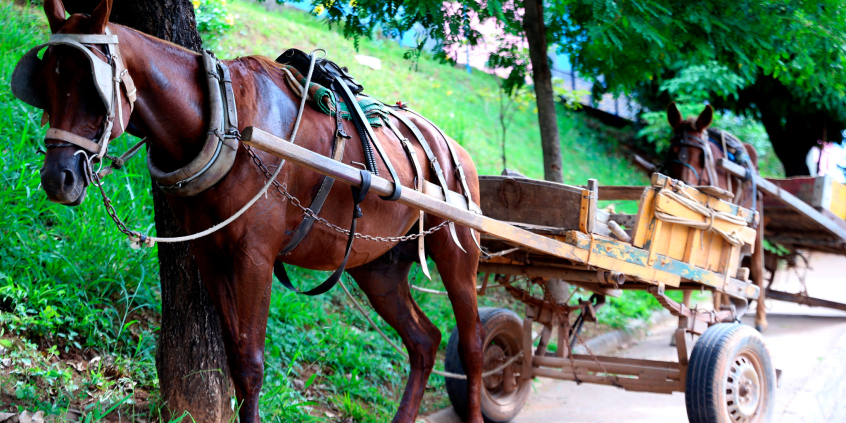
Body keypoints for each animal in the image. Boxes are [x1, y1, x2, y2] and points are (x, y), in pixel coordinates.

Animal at [33, 0, 486, 422]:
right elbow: (235, 358)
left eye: (94, 90)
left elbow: (251, 365)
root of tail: (455, 147)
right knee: (424, 340)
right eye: (45, 84)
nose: (58, 178)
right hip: (378, 266)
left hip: (457, 253)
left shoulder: (255, 257)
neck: (224, 118)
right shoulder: (210, 254)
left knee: (472, 343)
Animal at [664, 104, 772, 332]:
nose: (685, 186)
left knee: (756, 267)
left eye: (701, 156)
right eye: (672, 152)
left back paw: (759, 318)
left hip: (754, 226)